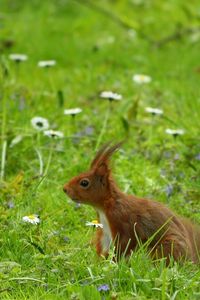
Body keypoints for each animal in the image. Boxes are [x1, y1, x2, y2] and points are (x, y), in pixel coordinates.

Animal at [63, 142, 200, 264]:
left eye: (84, 183)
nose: (65, 189)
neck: (107, 206)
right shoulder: (105, 230)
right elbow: (105, 247)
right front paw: (98, 264)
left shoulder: (124, 222)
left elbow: (123, 245)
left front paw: (112, 265)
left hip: (166, 246)